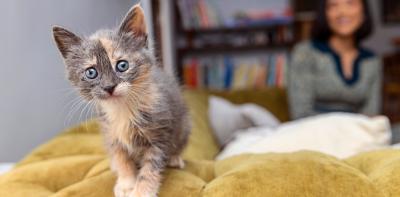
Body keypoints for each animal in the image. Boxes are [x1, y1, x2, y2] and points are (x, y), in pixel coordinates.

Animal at [51, 4, 189, 197]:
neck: (122, 108)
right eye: (91, 72)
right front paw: (126, 184)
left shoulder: (159, 134)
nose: (109, 87)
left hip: (183, 127)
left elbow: (150, 167)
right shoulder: (111, 134)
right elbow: (122, 158)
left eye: (122, 65)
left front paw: (141, 191)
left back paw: (175, 158)